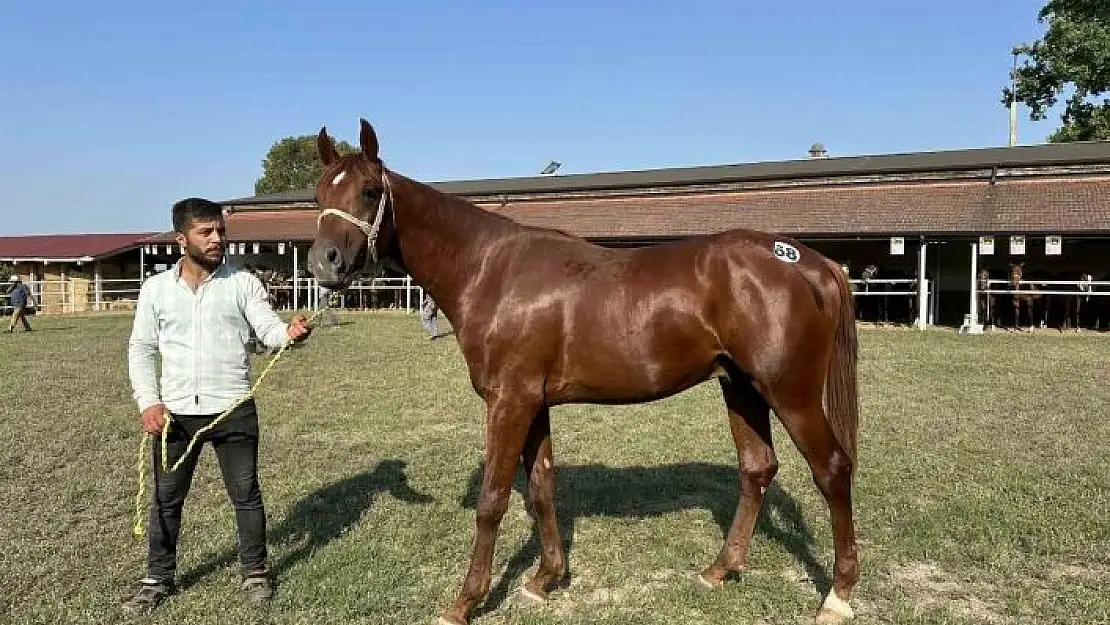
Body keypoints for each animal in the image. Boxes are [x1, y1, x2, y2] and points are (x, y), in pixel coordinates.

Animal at [308, 118, 861, 625]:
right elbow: (542, 488)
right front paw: (544, 579)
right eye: (318, 193)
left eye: (369, 190)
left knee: (832, 469)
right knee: (757, 468)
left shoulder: (509, 402)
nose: (323, 264)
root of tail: (809, 261)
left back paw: (837, 595)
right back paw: (719, 570)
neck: (492, 271)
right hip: (741, 388)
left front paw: (465, 602)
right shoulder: (533, 403)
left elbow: (492, 501)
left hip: (791, 394)